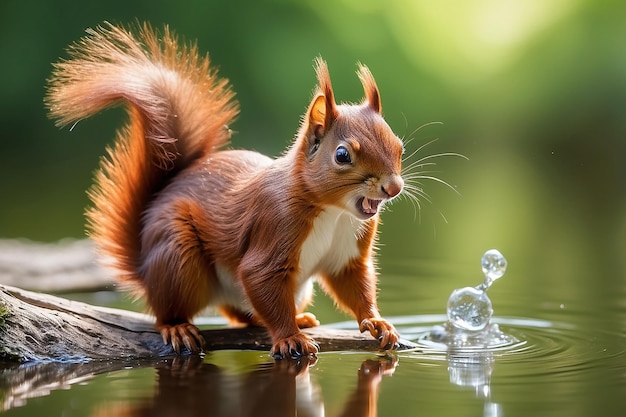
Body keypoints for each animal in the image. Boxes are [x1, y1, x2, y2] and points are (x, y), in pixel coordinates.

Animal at [46, 22, 402, 358]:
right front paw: (289, 338)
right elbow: (259, 277)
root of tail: (144, 269)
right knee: (170, 311)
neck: (333, 211)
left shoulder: (349, 254)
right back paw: (178, 328)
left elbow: (354, 285)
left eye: (398, 146)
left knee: (245, 315)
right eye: (342, 155)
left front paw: (377, 322)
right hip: (178, 256)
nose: (393, 187)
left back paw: (298, 318)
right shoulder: (275, 224)